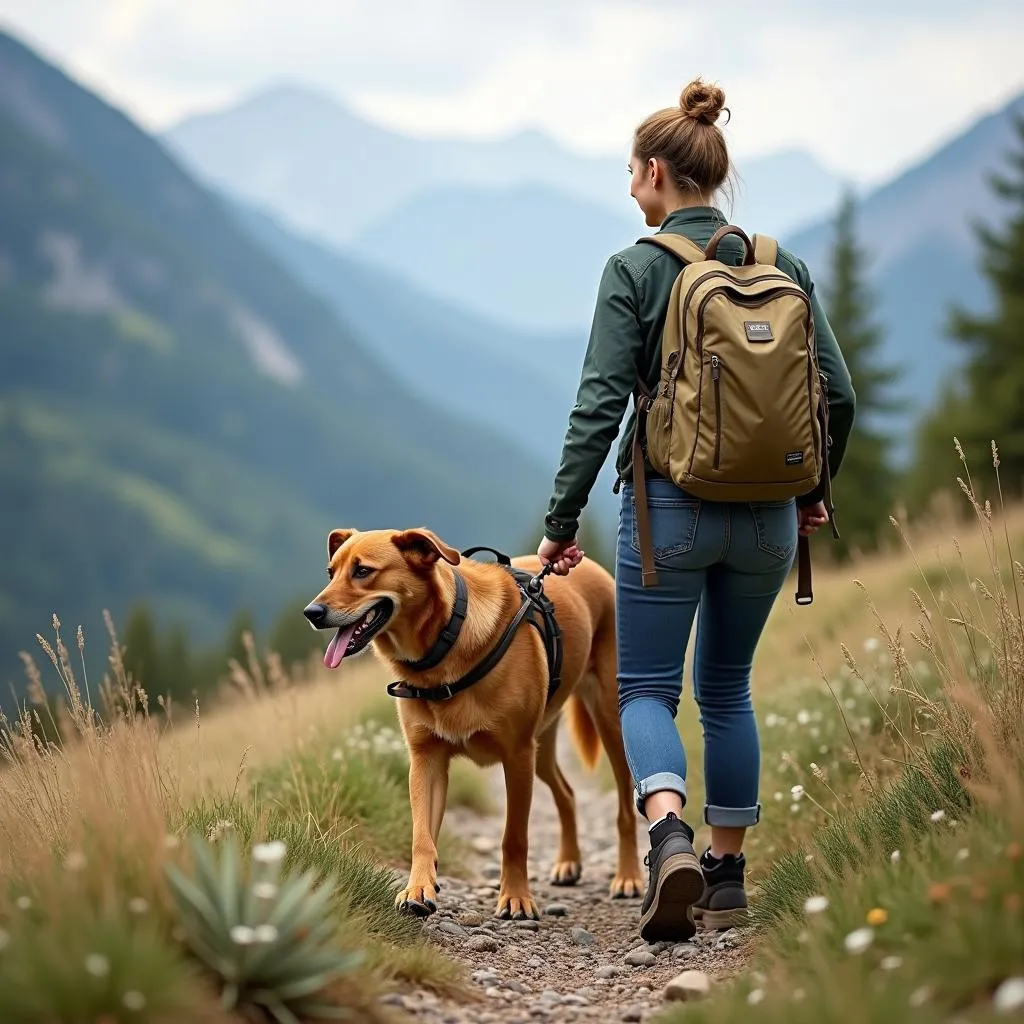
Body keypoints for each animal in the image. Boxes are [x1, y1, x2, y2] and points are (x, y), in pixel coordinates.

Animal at [299, 528, 643, 921]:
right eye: (331, 573)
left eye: (363, 571)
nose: (312, 612)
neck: (445, 642)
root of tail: (595, 569)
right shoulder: (426, 760)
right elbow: (422, 836)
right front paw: (418, 888)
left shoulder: (517, 756)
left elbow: (514, 838)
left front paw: (516, 897)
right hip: (542, 746)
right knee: (567, 794)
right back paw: (569, 863)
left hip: (609, 724)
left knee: (624, 809)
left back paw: (628, 877)